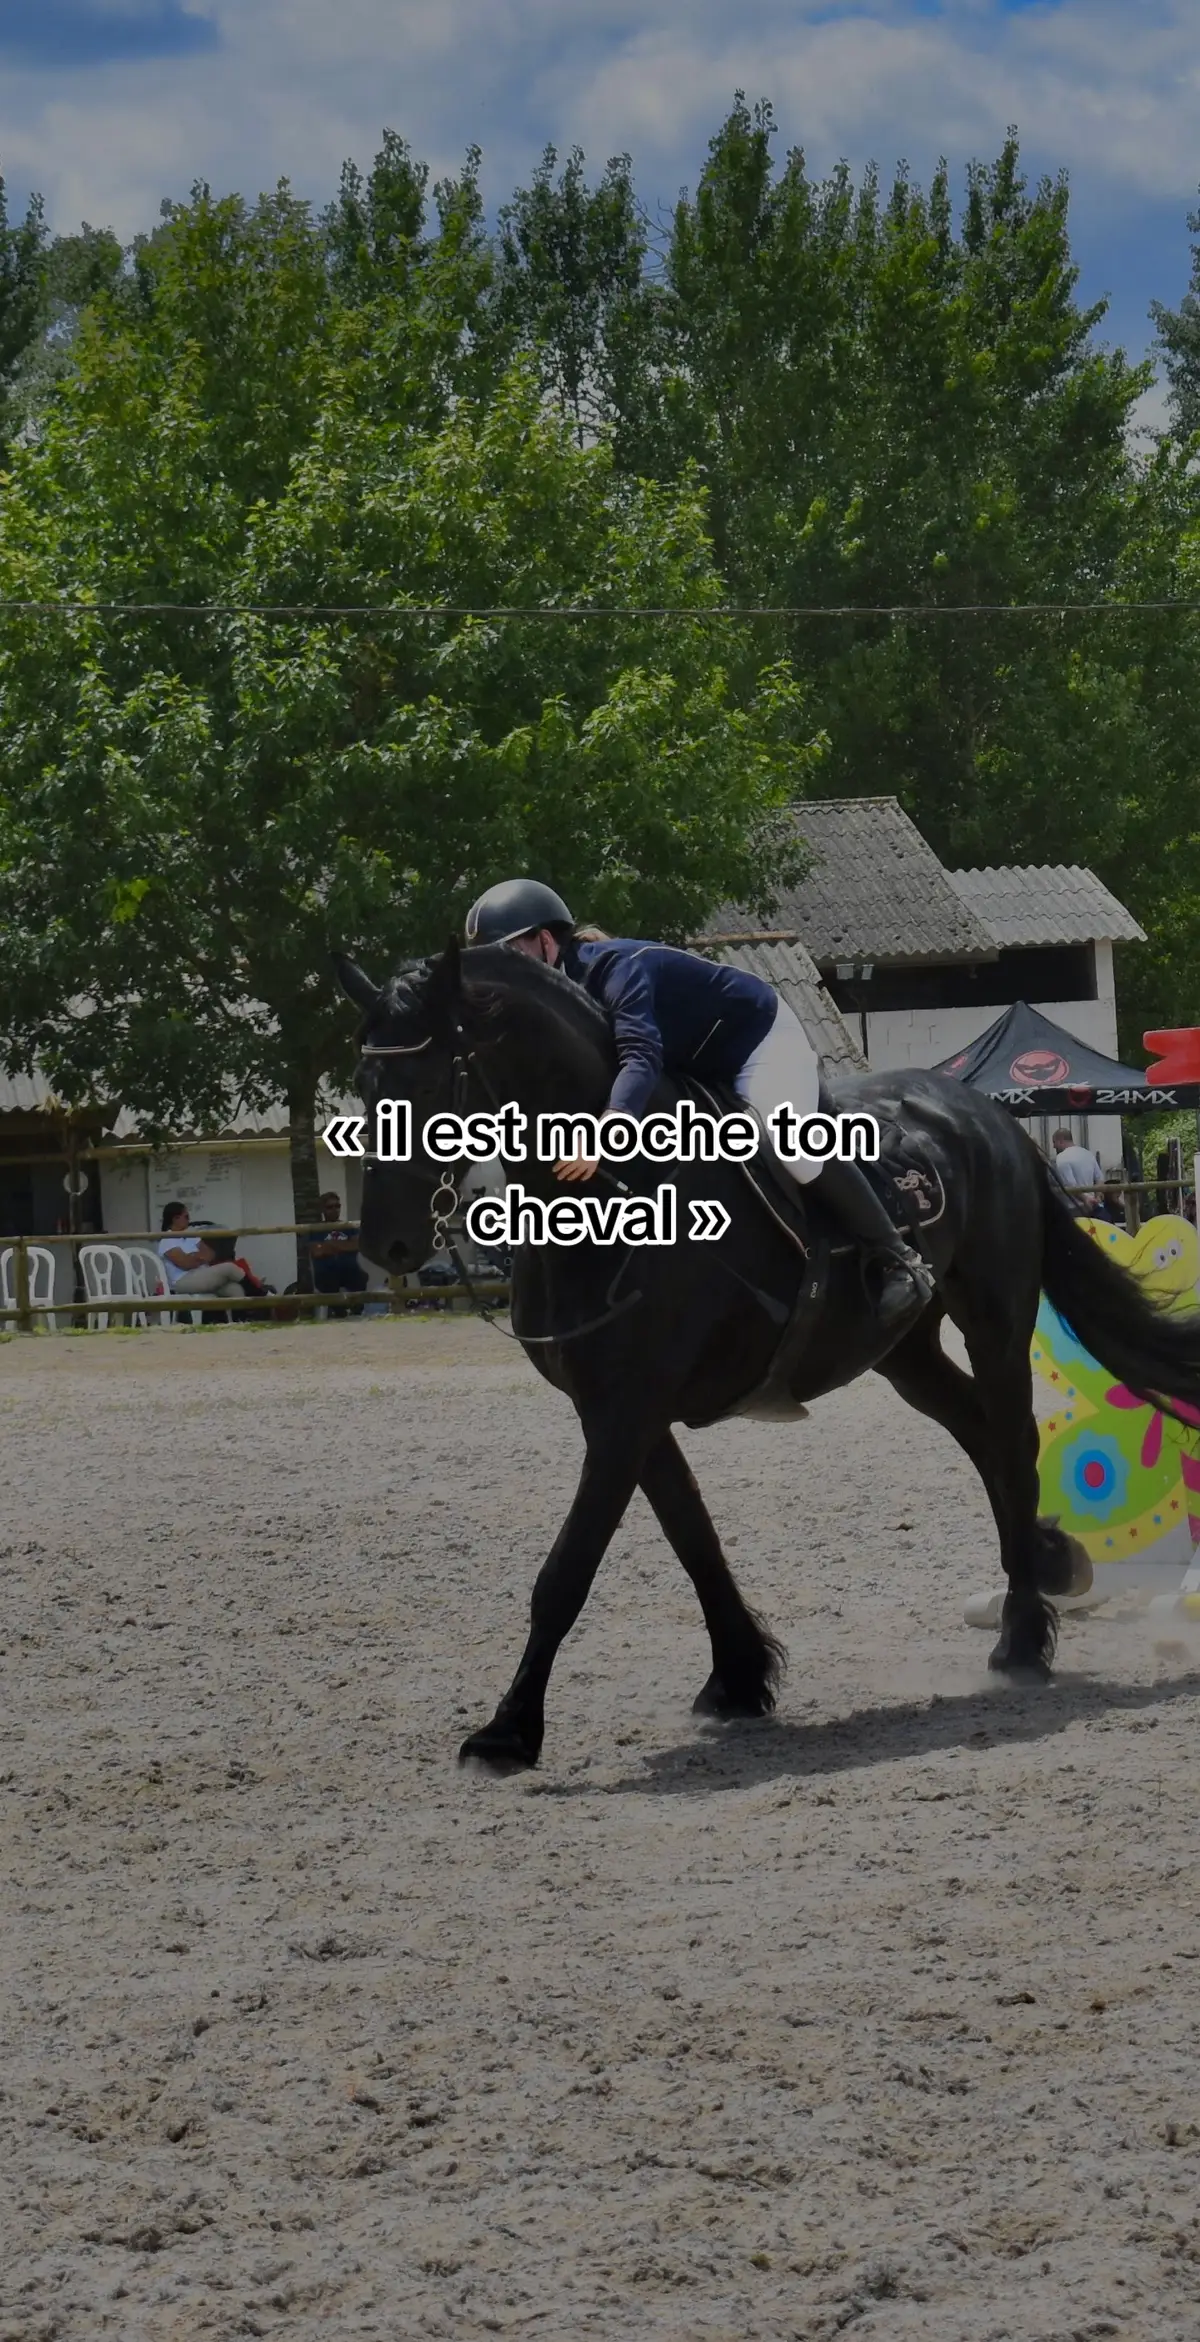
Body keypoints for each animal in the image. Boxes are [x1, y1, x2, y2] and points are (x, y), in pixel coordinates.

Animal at [332, 941, 1200, 1761]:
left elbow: (567, 1570)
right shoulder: (622, 1412)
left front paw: (507, 1733)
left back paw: (1022, 1637)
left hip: (993, 1311)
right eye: (366, 1087)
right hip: (900, 1350)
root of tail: (991, 1115)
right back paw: (1052, 1562)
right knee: (980, 1433)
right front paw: (739, 1679)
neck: (611, 1191)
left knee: (1013, 1440)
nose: (387, 1244)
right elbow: (694, 1539)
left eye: (432, 1082)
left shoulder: (625, 1412)